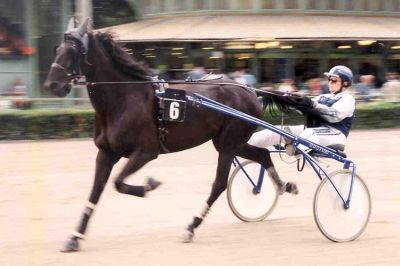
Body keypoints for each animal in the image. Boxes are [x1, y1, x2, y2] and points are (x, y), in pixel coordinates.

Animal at [44, 19, 300, 251]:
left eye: (73, 51)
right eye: (57, 49)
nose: (52, 85)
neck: (124, 98)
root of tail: (251, 91)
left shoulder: (146, 152)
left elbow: (119, 183)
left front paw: (149, 185)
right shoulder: (106, 153)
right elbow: (96, 192)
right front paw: (74, 237)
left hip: (229, 143)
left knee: (219, 184)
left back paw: (191, 226)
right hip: (229, 142)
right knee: (262, 155)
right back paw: (283, 186)